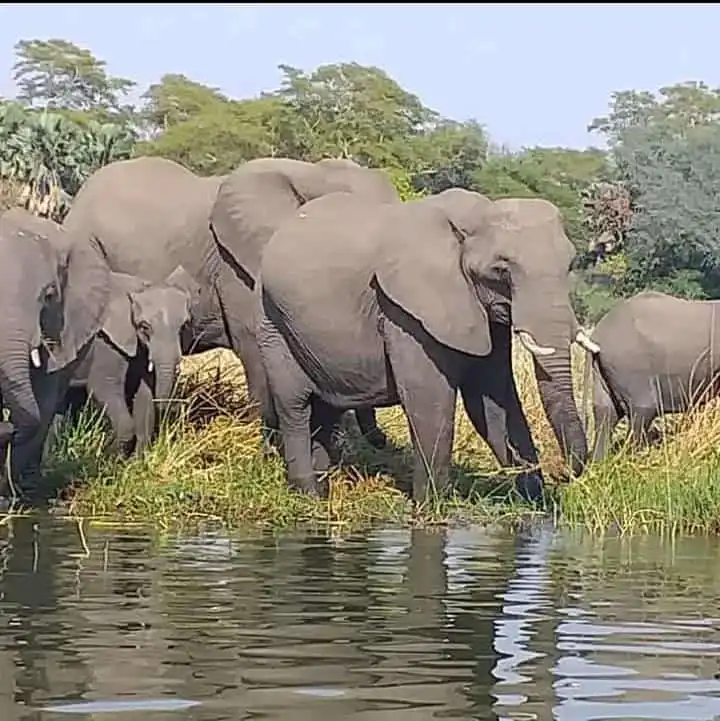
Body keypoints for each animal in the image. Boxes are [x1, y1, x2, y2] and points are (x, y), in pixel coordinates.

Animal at [60, 265, 200, 455]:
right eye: (144, 327)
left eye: (184, 326)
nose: (183, 406)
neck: (138, 289)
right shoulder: (106, 341)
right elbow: (102, 386)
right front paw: (109, 456)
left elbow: (144, 394)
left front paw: (138, 459)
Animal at [256, 189, 597, 501]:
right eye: (501, 270)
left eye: (570, 265)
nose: (561, 472)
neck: (473, 216)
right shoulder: (404, 312)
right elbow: (430, 399)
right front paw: (431, 508)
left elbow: (491, 397)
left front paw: (536, 504)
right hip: (272, 320)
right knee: (295, 405)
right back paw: (308, 494)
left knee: (327, 406)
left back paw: (323, 487)